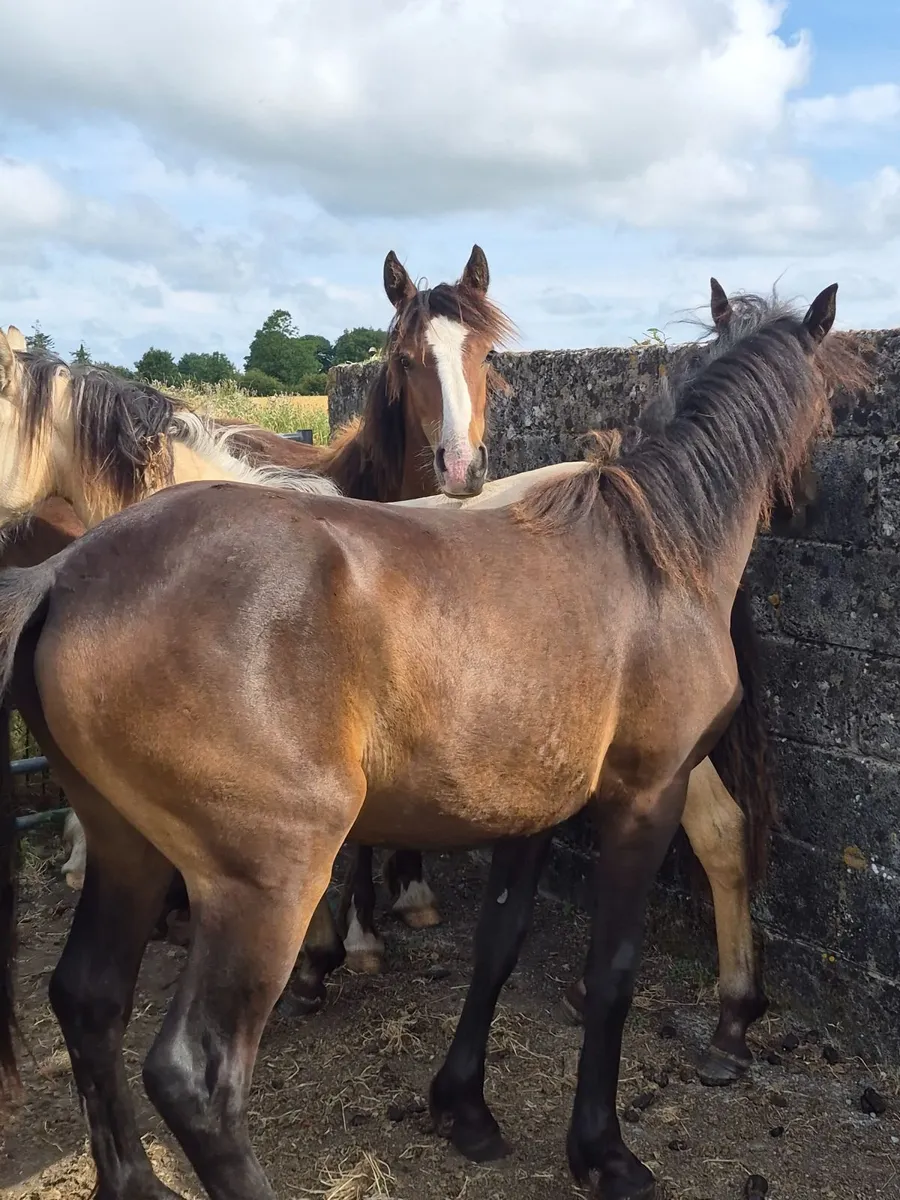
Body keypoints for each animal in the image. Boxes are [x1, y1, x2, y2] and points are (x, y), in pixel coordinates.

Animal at [0, 284, 865, 1200]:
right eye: (828, 404)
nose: (809, 501)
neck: (656, 553)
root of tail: (63, 578)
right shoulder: (644, 799)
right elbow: (612, 975)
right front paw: (602, 1150)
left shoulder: (532, 809)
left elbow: (498, 944)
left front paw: (464, 1105)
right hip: (265, 881)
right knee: (195, 1075)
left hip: (126, 847)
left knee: (88, 999)